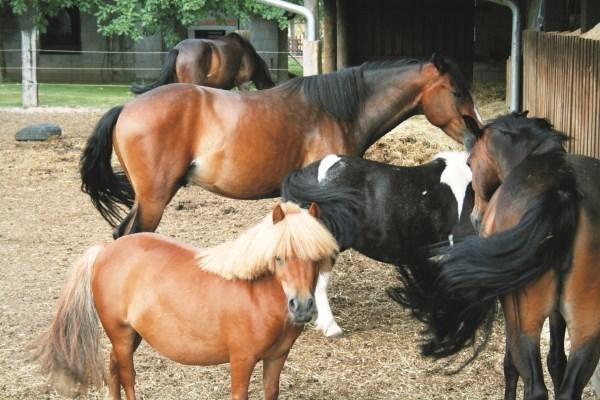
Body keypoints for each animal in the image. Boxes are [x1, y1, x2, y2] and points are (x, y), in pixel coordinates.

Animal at [30, 203, 338, 400]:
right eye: (278, 257)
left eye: (317, 258)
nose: (302, 306)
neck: (257, 294)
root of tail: (106, 250)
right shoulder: (242, 360)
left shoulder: (276, 358)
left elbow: (271, 392)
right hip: (120, 334)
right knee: (127, 376)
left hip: (132, 335)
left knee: (114, 367)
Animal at [394, 113, 600, 400]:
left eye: (470, 162)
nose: (475, 217)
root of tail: (563, 188)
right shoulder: (559, 315)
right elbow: (557, 360)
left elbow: (510, 365)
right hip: (587, 328)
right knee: (569, 387)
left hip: (524, 324)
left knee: (534, 386)